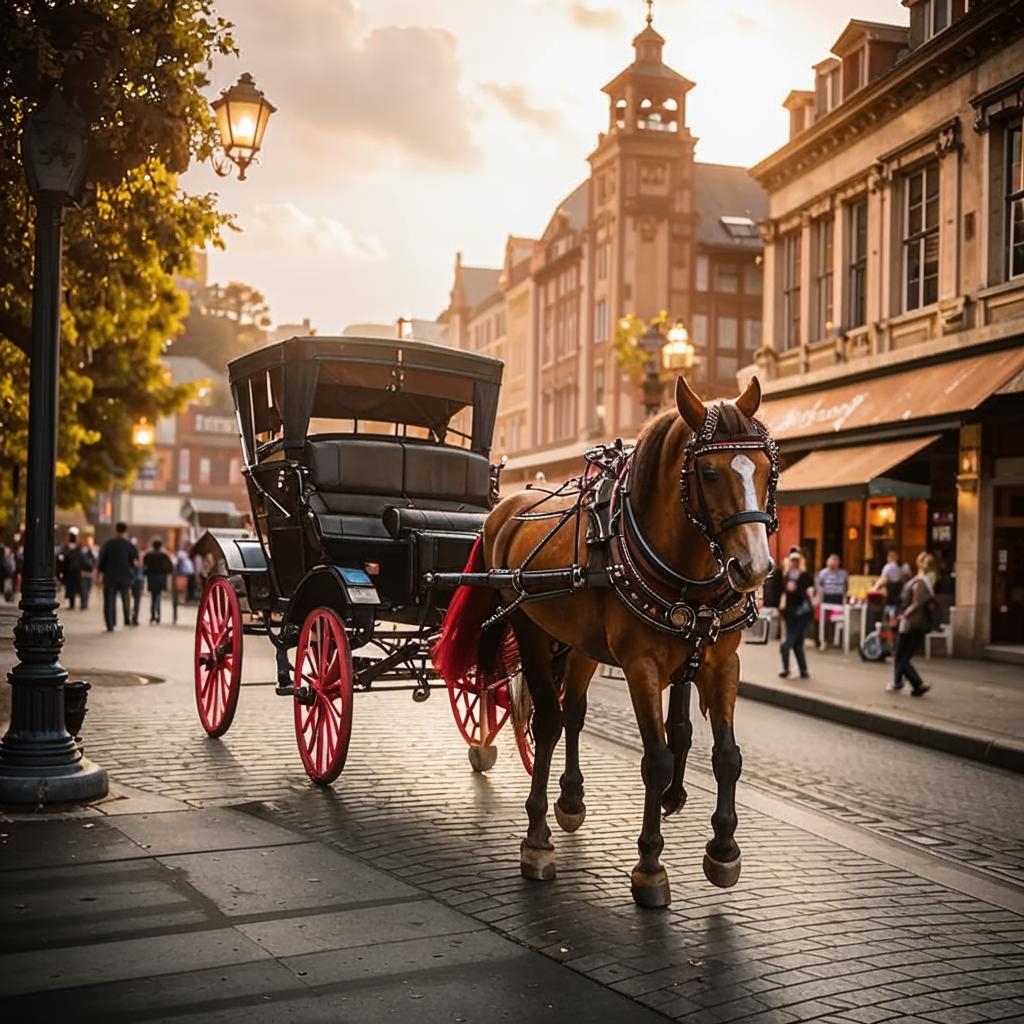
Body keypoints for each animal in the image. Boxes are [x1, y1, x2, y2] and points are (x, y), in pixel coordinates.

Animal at [430, 376, 774, 905]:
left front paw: (722, 850)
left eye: (766, 468)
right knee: (549, 721)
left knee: (572, 713)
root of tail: (503, 510)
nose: (754, 567)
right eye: (709, 473)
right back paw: (537, 839)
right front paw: (650, 865)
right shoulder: (640, 665)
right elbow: (656, 759)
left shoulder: (721, 662)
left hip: (580, 642)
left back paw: (570, 799)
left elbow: (727, 756)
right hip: (529, 626)